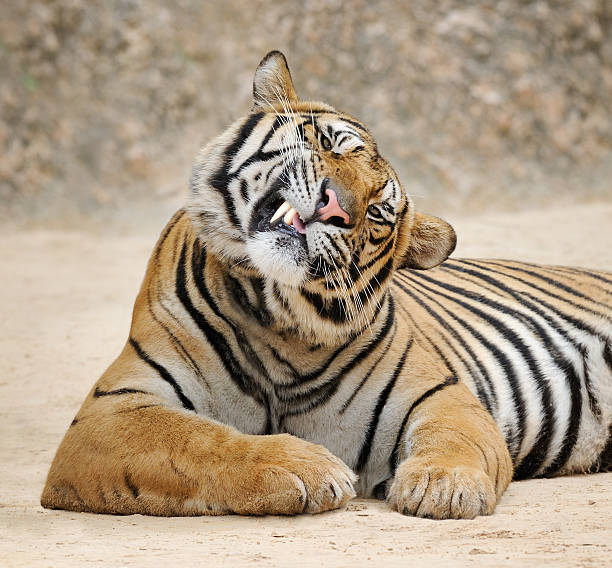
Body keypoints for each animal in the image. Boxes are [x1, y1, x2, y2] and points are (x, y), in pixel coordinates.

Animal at [40, 50, 608, 520]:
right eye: (327, 143)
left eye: (378, 211)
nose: (336, 206)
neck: (273, 317)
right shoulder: (112, 410)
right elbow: (197, 440)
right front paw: (304, 467)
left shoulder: (442, 394)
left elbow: (455, 438)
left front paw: (443, 486)